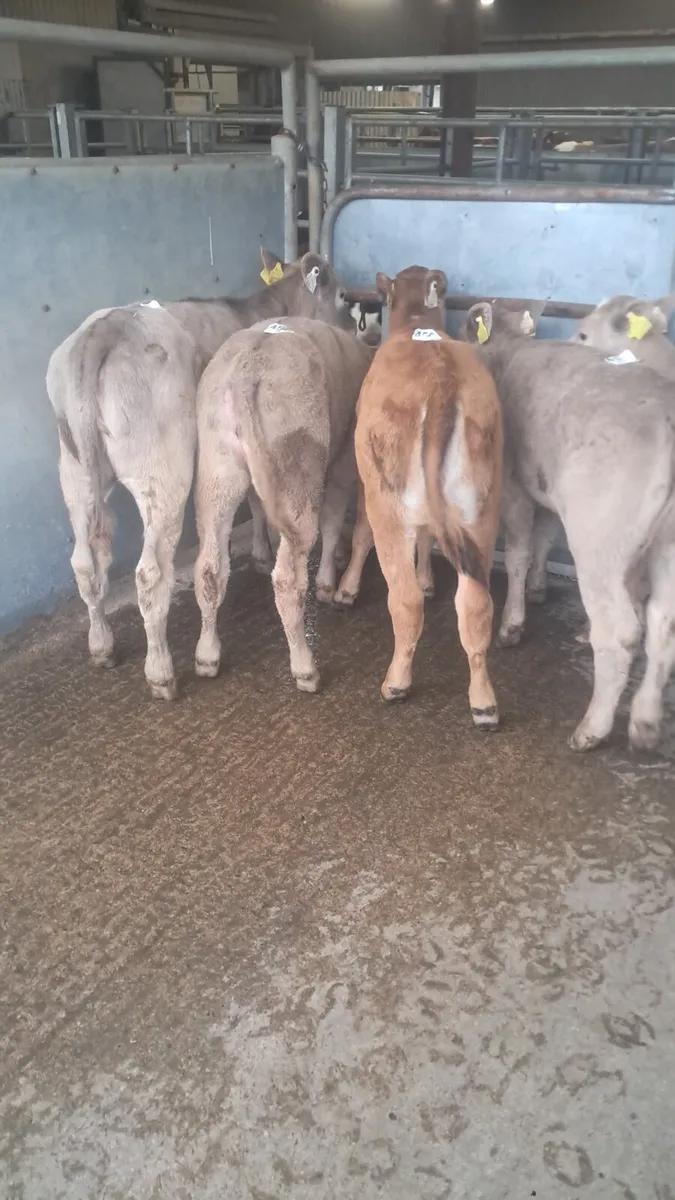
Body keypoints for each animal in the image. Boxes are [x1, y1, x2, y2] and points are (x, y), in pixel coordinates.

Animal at [46, 250, 351, 700]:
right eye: (344, 296)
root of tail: (106, 329)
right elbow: (255, 503)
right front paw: (263, 553)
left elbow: (254, 502)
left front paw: (259, 551)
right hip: (163, 469)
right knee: (150, 571)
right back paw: (161, 671)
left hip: (75, 471)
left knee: (86, 562)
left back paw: (102, 645)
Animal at [193, 294, 373, 694]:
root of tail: (248, 368)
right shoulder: (342, 464)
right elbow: (333, 523)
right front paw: (327, 583)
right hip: (297, 466)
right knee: (289, 577)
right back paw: (304, 667)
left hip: (218, 466)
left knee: (210, 568)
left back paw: (207, 654)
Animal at [335, 266, 503, 730]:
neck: (414, 322)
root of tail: (440, 375)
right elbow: (428, 537)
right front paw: (429, 578)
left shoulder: (365, 480)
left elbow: (360, 535)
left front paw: (346, 589)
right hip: (480, 509)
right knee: (476, 604)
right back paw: (484, 702)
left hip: (387, 499)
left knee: (405, 601)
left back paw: (396, 683)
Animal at [463, 297, 675, 752]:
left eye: (583, 334)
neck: (508, 351)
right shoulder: (544, 490)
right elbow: (543, 540)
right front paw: (540, 589)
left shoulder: (514, 487)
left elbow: (520, 554)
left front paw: (512, 624)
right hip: (666, 545)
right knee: (662, 622)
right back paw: (645, 721)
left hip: (598, 538)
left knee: (621, 631)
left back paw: (592, 729)